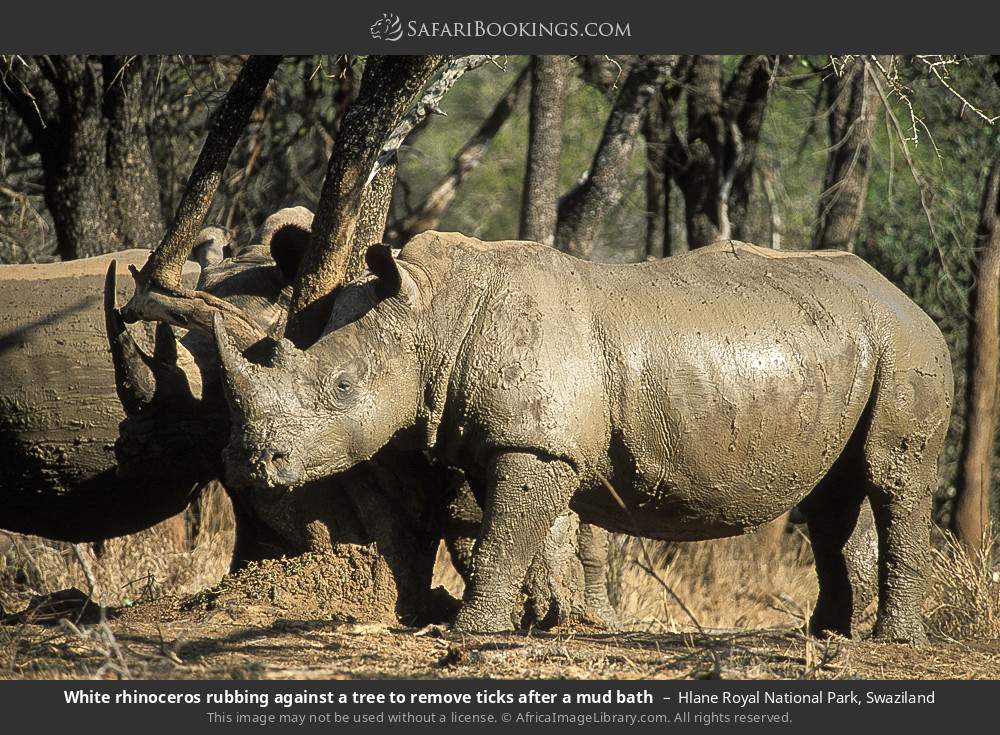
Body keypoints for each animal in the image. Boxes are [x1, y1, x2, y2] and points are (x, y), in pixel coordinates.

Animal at [213, 232, 953, 642]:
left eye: (341, 388)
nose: (256, 464)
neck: (434, 313)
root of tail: (908, 299)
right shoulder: (508, 438)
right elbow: (503, 530)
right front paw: (535, 622)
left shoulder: (534, 442)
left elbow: (502, 535)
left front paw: (470, 630)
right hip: (857, 346)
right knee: (833, 492)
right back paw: (827, 632)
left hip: (907, 346)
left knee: (894, 477)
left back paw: (895, 643)